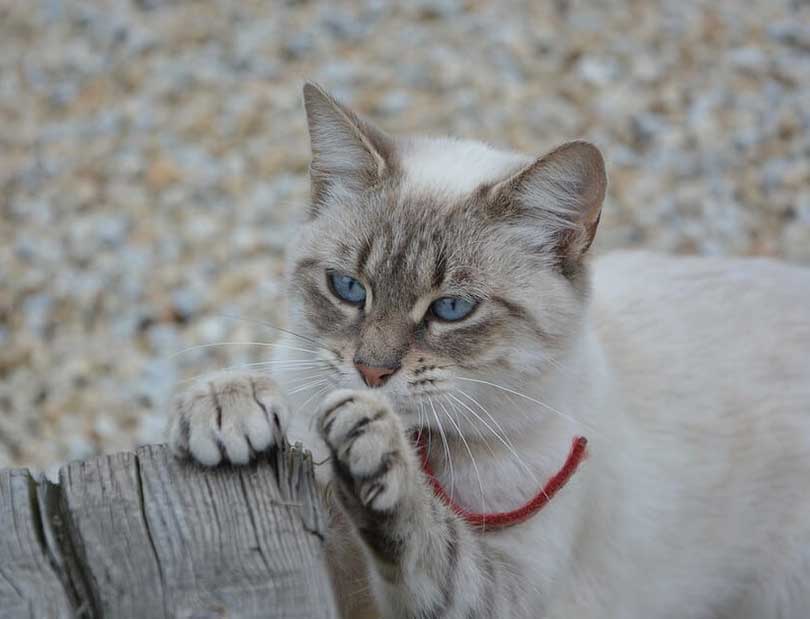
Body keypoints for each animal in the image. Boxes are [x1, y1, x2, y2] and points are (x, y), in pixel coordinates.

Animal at [167, 83, 808, 619]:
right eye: (348, 288)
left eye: (452, 309)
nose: (371, 371)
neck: (428, 446)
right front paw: (228, 406)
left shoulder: (507, 593)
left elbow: (431, 544)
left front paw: (376, 452)